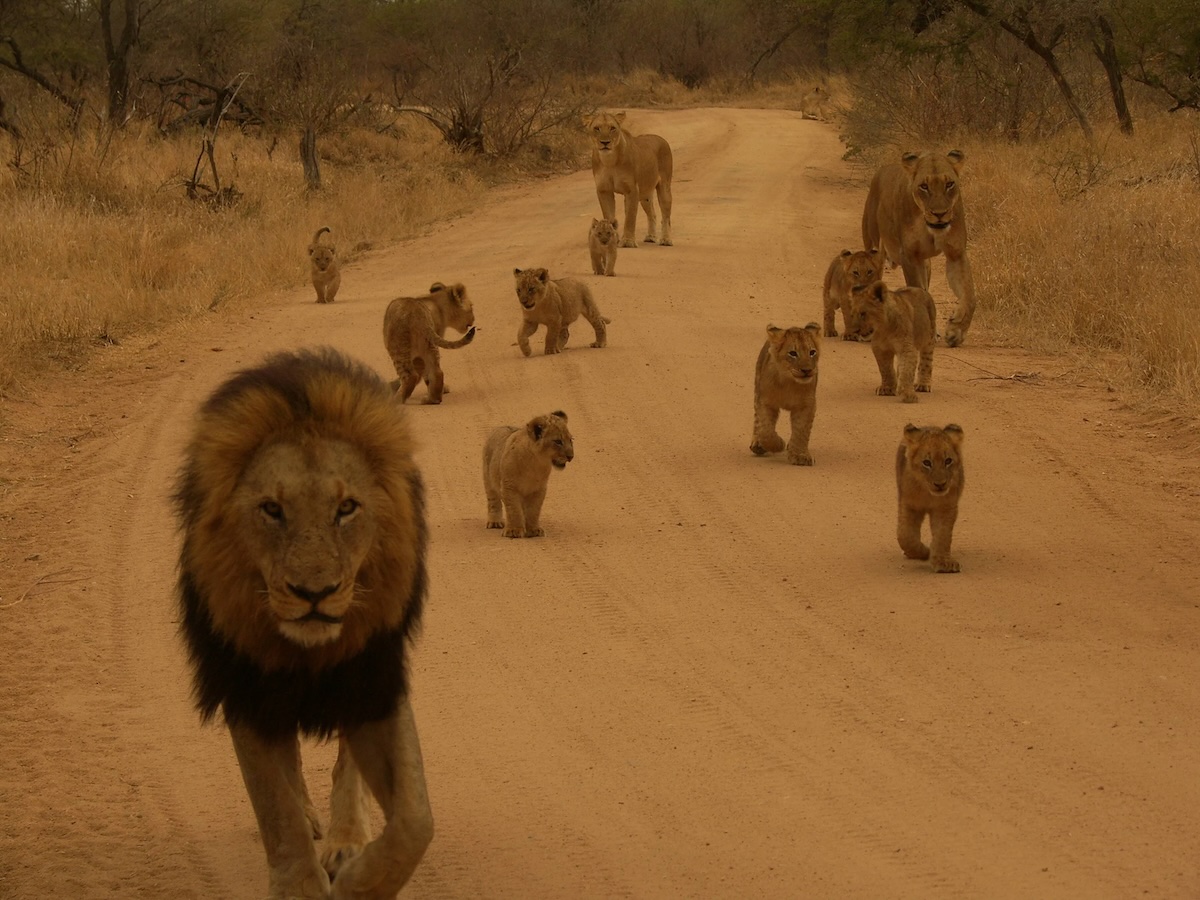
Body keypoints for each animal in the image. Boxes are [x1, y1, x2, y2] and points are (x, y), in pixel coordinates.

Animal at [172, 347, 433, 899]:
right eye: (272, 509)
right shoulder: (247, 686)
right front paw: (300, 884)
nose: (314, 594)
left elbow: (416, 819)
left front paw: (359, 880)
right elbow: (277, 810)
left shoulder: (372, 679)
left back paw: (346, 839)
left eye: (347, 508)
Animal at [584, 111, 673, 248]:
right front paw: (612, 239)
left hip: (664, 187)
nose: (605, 142)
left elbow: (630, 217)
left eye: (612, 128)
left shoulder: (631, 190)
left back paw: (666, 240)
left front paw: (628, 241)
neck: (609, 160)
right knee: (652, 214)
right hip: (645, 195)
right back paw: (651, 237)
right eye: (597, 128)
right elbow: (609, 216)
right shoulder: (604, 190)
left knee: (666, 216)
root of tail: (662, 139)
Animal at [750, 323, 821, 466]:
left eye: (812, 352)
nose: (807, 370)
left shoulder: (806, 406)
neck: (789, 382)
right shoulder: (766, 402)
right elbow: (765, 429)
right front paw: (777, 445)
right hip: (757, 388)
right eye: (793, 353)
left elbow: (801, 430)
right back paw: (757, 444)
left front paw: (800, 456)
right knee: (757, 421)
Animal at [862, 149, 977, 347]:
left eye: (949, 184)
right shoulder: (910, 256)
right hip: (873, 250)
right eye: (924, 186)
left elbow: (970, 296)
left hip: (927, 264)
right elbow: (917, 290)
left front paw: (956, 331)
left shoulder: (956, 254)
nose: (940, 214)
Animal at [896, 423, 965, 573]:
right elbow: (906, 535)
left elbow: (942, 535)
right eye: (927, 463)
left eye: (948, 461)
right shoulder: (909, 505)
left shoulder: (945, 508)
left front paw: (943, 562)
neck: (928, 494)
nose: (940, 484)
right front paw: (923, 552)